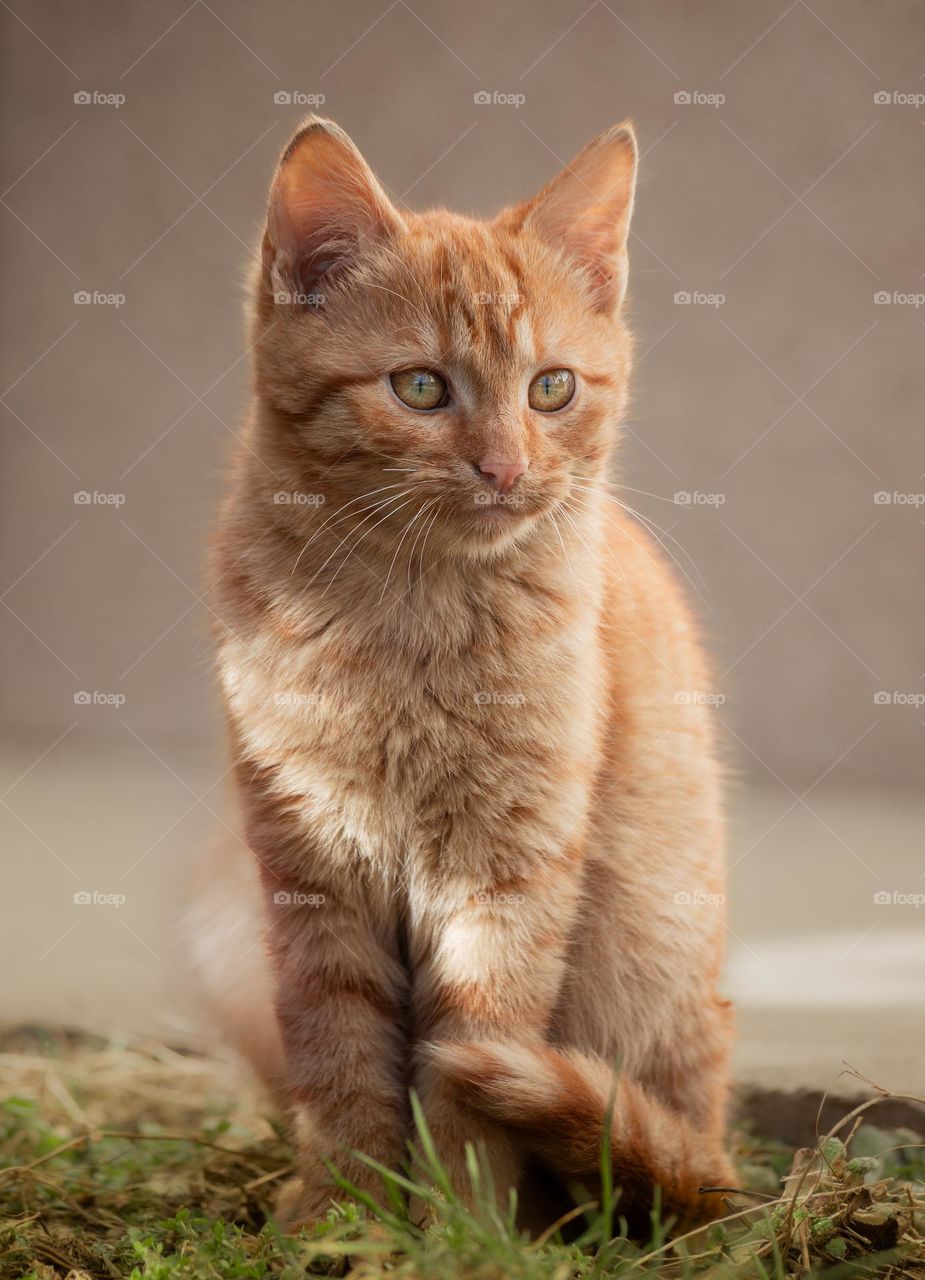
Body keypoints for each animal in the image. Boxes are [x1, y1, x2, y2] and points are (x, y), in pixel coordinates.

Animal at [193, 115, 736, 1233]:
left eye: (551, 387)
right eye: (419, 387)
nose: (505, 466)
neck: (408, 618)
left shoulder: (508, 876)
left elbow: (471, 1061)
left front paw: (463, 1225)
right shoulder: (309, 867)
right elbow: (339, 1054)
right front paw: (344, 1217)